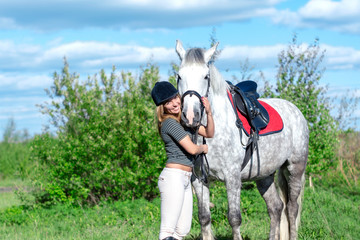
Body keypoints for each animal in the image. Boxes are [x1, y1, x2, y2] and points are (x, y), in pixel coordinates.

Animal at [176, 39, 308, 240]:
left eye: (206, 76)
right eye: (179, 76)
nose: (191, 115)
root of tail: (296, 111)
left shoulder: (232, 177)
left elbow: (234, 218)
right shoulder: (198, 179)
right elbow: (204, 217)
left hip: (295, 169)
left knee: (292, 209)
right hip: (264, 175)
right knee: (276, 208)